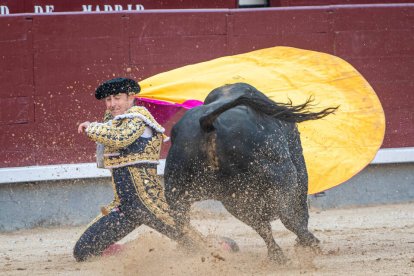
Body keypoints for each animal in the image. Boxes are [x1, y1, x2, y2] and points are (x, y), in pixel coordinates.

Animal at [163, 82, 336, 264]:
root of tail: (206, 123)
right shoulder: (297, 162)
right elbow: (300, 209)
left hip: (191, 192)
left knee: (182, 223)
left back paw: (277, 255)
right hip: (281, 175)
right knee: (286, 216)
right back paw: (310, 244)